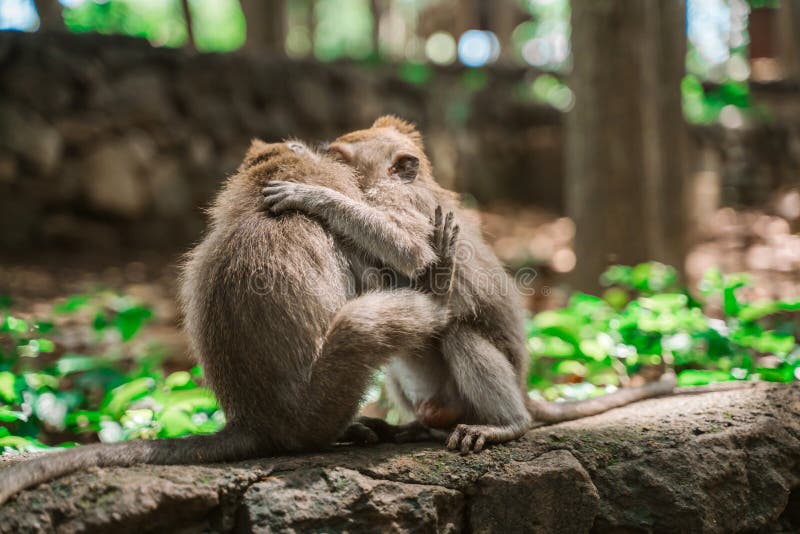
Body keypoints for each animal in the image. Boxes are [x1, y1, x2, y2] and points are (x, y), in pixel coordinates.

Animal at [0, 139, 460, 506]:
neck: (258, 205)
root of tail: (251, 421)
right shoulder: (346, 245)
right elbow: (397, 266)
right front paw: (428, 266)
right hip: (318, 409)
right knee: (361, 324)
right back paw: (435, 294)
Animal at [260, 115, 676, 454]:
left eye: (339, 158)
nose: (320, 157)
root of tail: (523, 389)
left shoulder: (398, 203)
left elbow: (411, 251)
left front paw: (314, 195)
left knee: (459, 335)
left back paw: (507, 425)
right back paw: (415, 427)